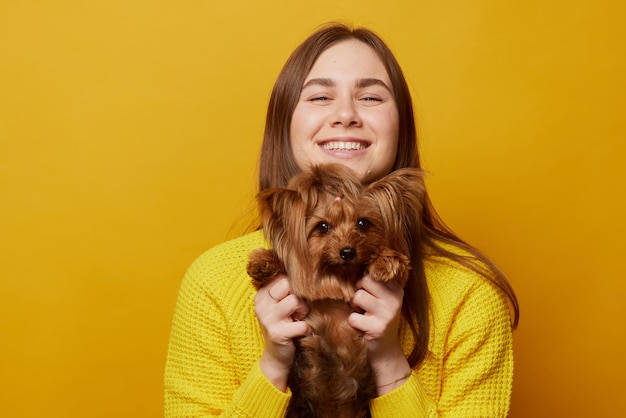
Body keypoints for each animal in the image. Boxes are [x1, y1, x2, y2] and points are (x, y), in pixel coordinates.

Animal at [246, 163, 422, 418]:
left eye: (363, 223)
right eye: (323, 227)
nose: (347, 251)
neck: (340, 275)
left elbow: (398, 268)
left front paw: (386, 261)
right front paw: (262, 262)